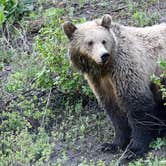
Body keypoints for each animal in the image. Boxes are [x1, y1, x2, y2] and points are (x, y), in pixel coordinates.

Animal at [63, 14, 165, 163]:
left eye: (104, 41)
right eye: (90, 42)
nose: (104, 55)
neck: (105, 69)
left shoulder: (126, 70)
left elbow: (138, 108)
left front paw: (134, 150)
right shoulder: (101, 83)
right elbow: (115, 112)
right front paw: (112, 144)